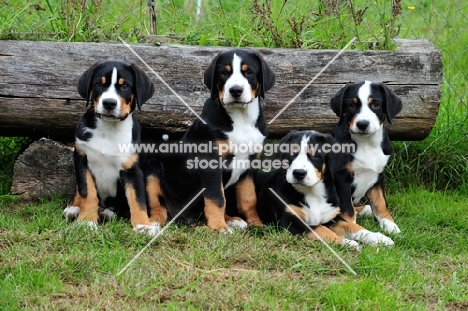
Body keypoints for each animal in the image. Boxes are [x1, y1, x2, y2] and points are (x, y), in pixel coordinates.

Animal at [63, 60, 160, 236]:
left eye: (125, 86)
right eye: (99, 84)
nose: (109, 103)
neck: (108, 130)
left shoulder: (132, 169)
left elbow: (137, 199)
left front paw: (142, 225)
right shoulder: (82, 159)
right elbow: (87, 193)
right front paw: (86, 221)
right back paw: (75, 208)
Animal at [146, 48, 276, 233]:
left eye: (249, 72)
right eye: (224, 73)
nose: (235, 90)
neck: (241, 119)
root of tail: (182, 216)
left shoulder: (250, 165)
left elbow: (249, 199)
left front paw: (257, 224)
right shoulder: (210, 163)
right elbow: (217, 198)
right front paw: (218, 227)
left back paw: (233, 220)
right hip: (152, 169)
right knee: (158, 206)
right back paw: (153, 224)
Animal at [254, 130, 394, 250]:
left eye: (316, 155)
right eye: (292, 153)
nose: (298, 173)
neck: (313, 193)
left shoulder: (330, 218)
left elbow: (351, 226)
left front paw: (378, 238)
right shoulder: (289, 221)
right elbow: (321, 229)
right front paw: (346, 243)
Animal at [330, 80, 402, 234]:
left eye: (375, 105)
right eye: (351, 105)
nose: (362, 124)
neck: (367, 143)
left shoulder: (378, 176)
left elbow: (380, 203)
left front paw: (390, 225)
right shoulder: (342, 178)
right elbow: (348, 211)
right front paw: (354, 228)